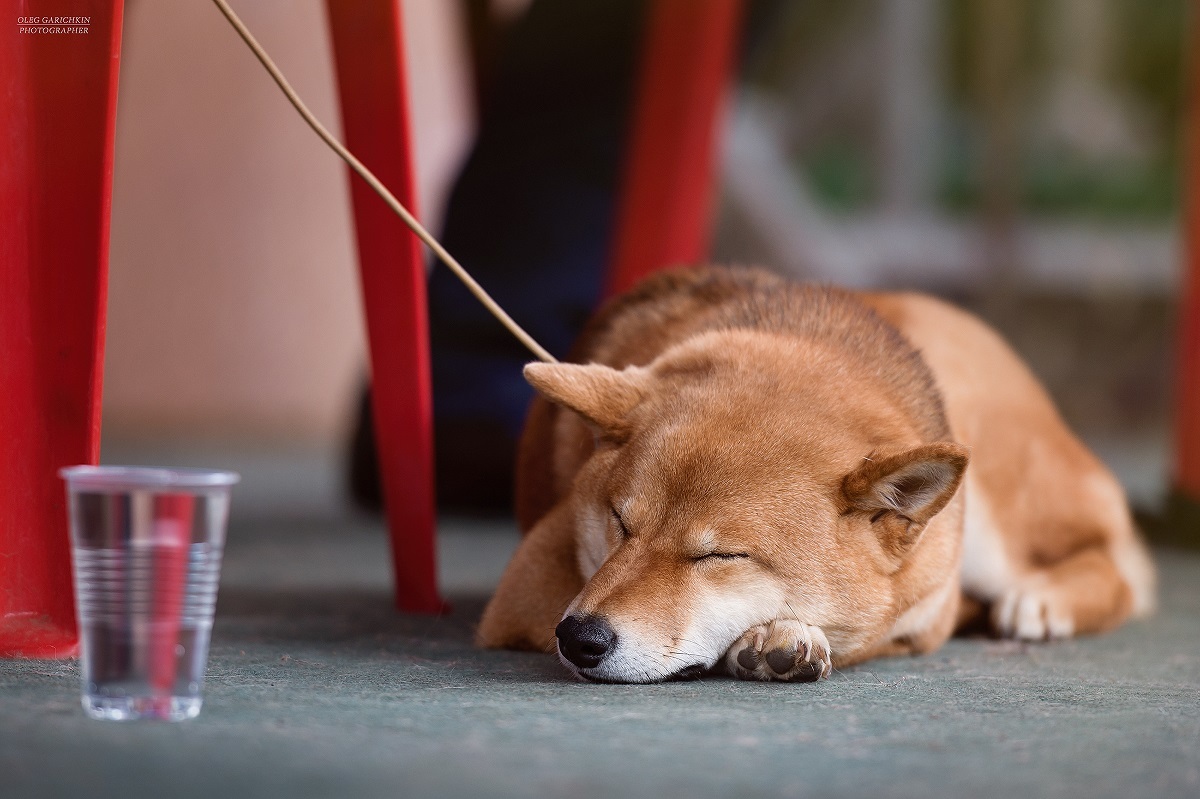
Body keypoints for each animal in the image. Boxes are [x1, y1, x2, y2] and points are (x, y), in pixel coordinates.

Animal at [472, 263, 1156, 681]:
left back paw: (1042, 600)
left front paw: (779, 638)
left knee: (1115, 568)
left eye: (720, 556)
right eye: (619, 522)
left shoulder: (923, 610)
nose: (580, 637)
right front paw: (771, 641)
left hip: (995, 516)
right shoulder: (526, 594)